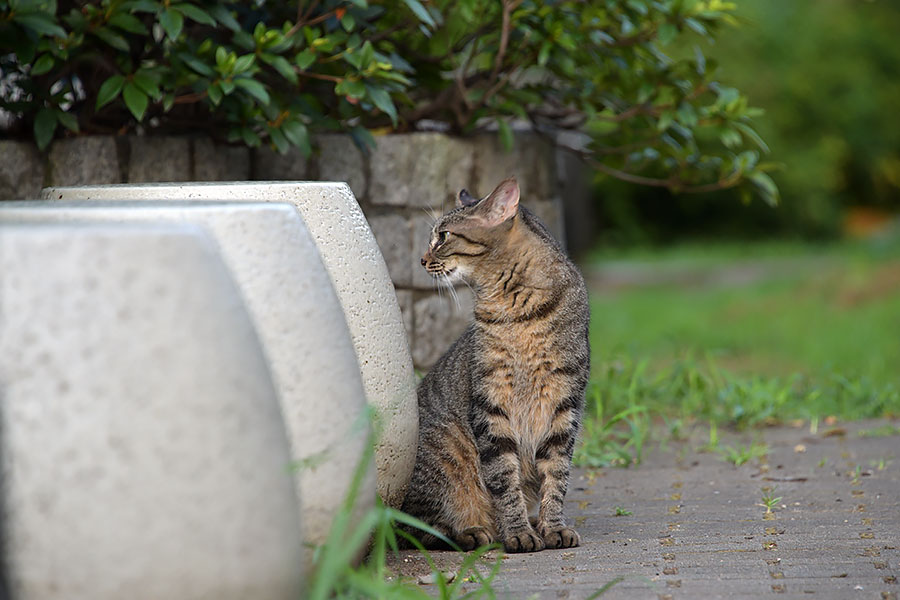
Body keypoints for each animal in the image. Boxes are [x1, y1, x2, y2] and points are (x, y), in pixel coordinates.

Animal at [400, 176, 592, 552]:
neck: (518, 310)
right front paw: (518, 532)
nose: (421, 259)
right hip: (446, 453)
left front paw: (552, 526)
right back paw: (472, 531)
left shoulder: (565, 403)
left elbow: (557, 475)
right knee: (411, 528)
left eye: (443, 235)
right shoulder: (491, 405)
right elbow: (504, 478)